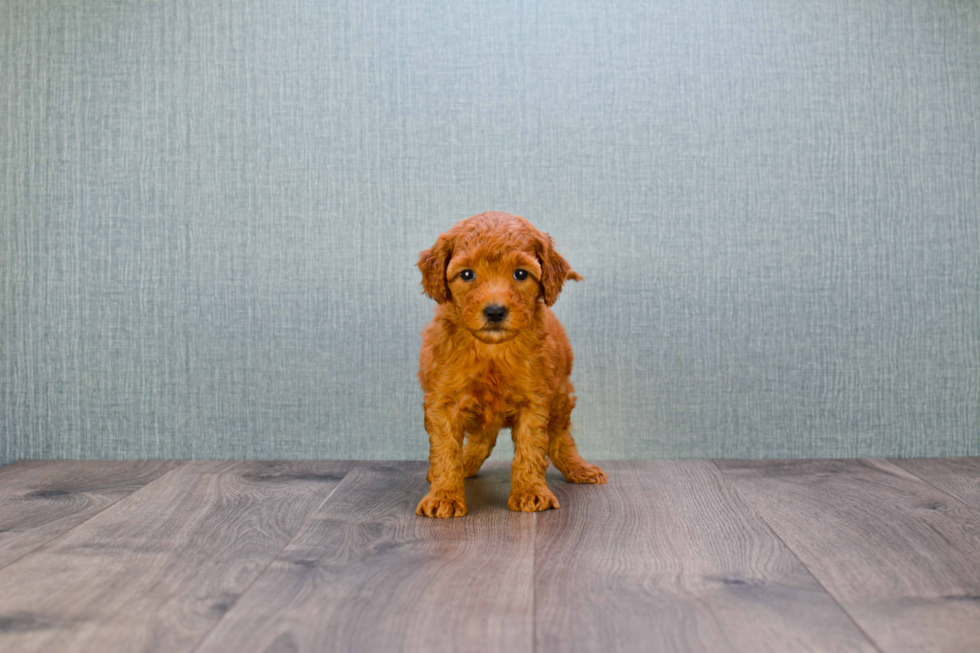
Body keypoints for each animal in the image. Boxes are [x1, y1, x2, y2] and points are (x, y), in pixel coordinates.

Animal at [414, 211, 604, 516]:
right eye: (467, 274)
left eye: (520, 274)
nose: (494, 312)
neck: (491, 350)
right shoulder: (443, 402)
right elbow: (445, 451)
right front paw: (444, 495)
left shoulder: (534, 401)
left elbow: (530, 447)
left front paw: (530, 491)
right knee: (482, 440)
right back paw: (465, 465)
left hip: (561, 397)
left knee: (561, 438)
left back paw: (578, 468)